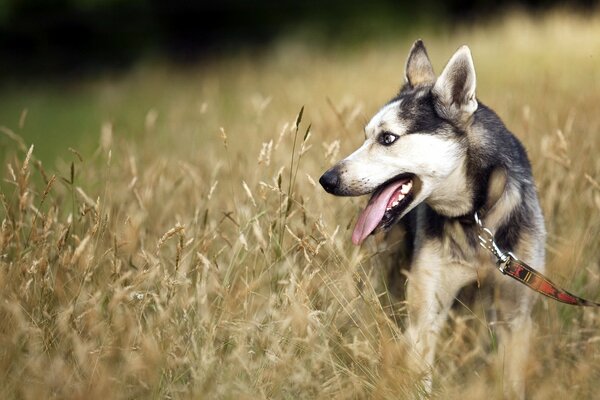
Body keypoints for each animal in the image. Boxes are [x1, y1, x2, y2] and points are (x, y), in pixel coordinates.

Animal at [322, 39, 548, 396]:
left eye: (387, 138)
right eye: (365, 136)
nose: (327, 179)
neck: (474, 217)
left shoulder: (514, 315)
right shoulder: (425, 314)